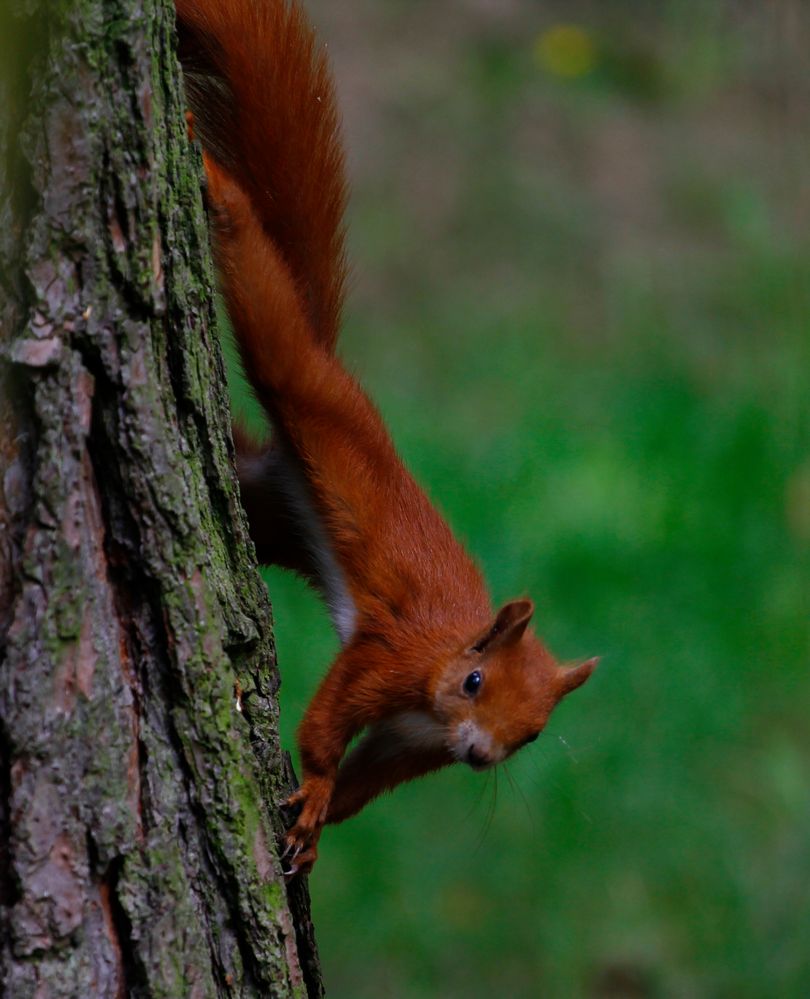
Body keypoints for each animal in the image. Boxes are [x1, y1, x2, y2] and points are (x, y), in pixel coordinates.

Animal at [175, 0, 592, 876]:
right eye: (474, 682)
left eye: (532, 735)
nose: (477, 753)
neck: (442, 667)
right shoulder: (390, 657)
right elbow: (330, 716)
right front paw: (315, 784)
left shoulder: (413, 744)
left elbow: (368, 780)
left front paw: (322, 822)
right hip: (303, 381)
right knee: (273, 314)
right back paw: (216, 187)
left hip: (268, 509)